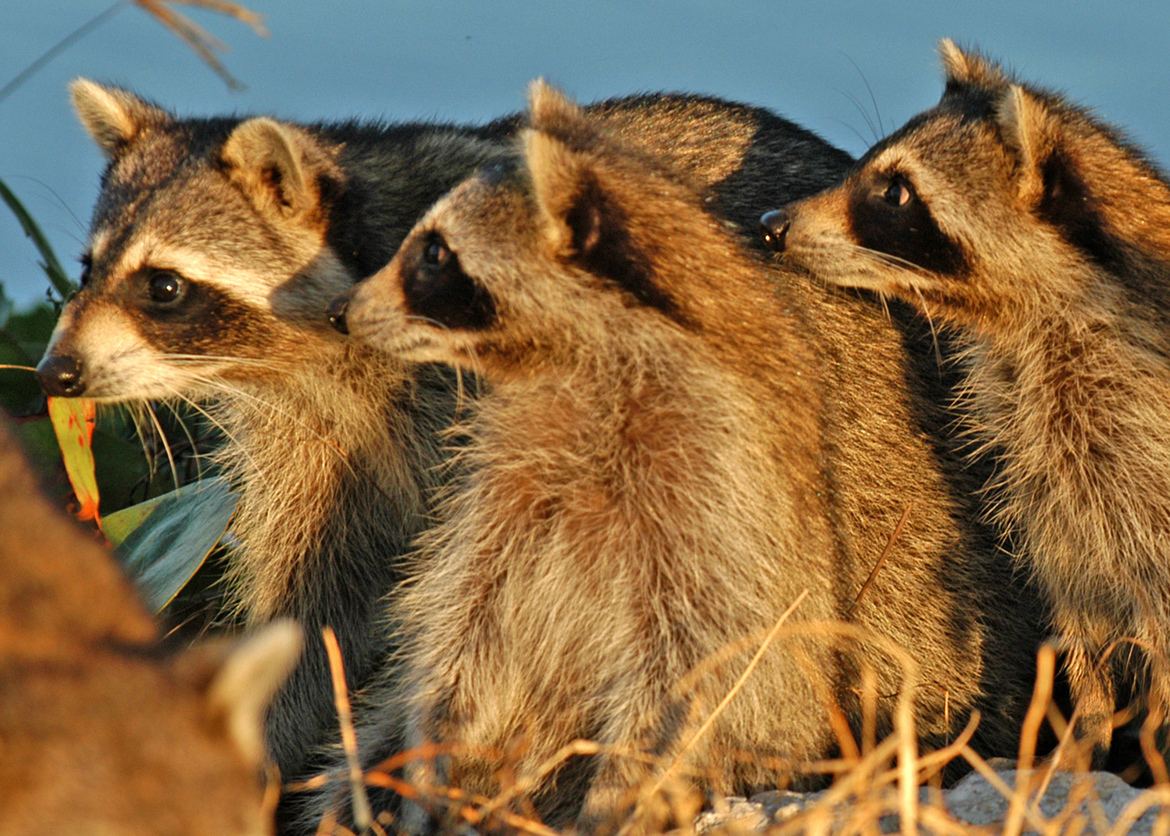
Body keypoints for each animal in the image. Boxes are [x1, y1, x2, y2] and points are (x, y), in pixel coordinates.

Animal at [36, 80, 852, 794]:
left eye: (163, 286)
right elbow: (321, 596)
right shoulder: (309, 434)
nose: (55, 372)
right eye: (86, 268)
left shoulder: (488, 403)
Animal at [330, 81, 1046, 830]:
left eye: (434, 254)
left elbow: (705, 672)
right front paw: (433, 756)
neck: (575, 366)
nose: (340, 312)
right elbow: (466, 627)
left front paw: (621, 795)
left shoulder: (720, 502)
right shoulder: (506, 488)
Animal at [764, 39, 1170, 763]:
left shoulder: (1132, 455)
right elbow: (1078, 605)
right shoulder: (1054, 481)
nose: (772, 224)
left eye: (895, 190)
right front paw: (1086, 735)